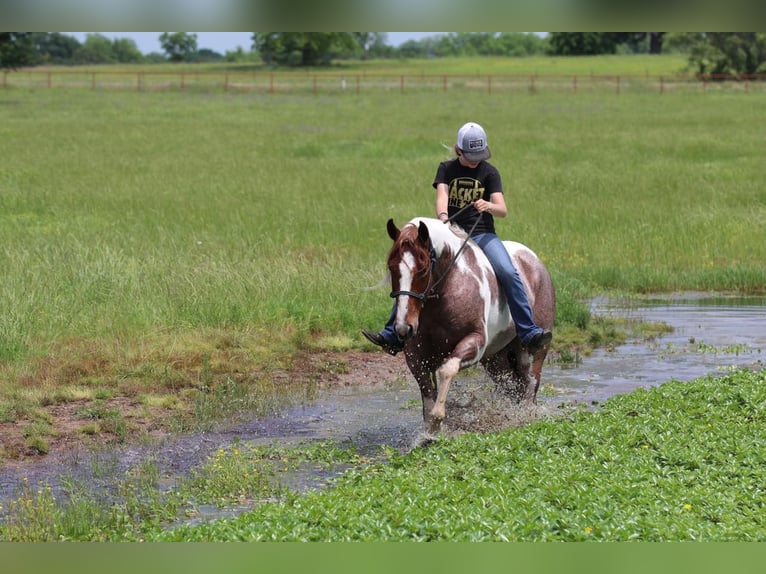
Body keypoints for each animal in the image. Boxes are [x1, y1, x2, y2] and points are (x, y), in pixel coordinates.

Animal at [388, 218, 556, 434]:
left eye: (423, 269)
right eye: (391, 268)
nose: (404, 328)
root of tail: (535, 261)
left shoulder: (475, 341)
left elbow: (446, 370)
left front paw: (438, 418)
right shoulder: (415, 356)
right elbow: (426, 391)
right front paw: (429, 433)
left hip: (533, 350)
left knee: (530, 381)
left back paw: (525, 417)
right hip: (496, 359)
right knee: (511, 385)